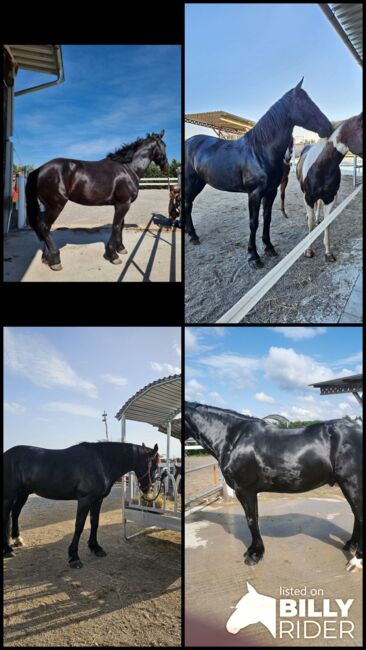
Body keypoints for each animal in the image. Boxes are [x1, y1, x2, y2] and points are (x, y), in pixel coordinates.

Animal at [3, 440, 159, 568]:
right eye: (154, 467)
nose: (148, 490)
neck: (102, 462)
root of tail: (7, 454)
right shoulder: (85, 499)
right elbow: (79, 526)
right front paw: (74, 557)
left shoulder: (98, 499)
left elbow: (94, 523)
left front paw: (96, 547)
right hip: (9, 495)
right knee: (8, 515)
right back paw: (8, 550)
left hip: (23, 493)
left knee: (15, 513)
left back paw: (17, 540)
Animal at [25, 132, 169, 268]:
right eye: (164, 145)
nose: (166, 166)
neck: (128, 168)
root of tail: (39, 170)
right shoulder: (123, 204)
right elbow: (116, 226)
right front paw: (113, 255)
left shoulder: (121, 204)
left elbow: (121, 225)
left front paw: (121, 248)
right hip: (56, 205)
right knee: (44, 227)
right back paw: (55, 259)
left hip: (48, 206)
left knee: (46, 227)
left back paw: (46, 258)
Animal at [184, 78, 334, 266]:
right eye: (305, 103)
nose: (328, 127)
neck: (260, 151)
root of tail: (188, 142)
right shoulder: (254, 193)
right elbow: (253, 222)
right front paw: (253, 256)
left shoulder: (270, 192)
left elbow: (267, 218)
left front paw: (269, 248)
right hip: (191, 182)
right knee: (187, 205)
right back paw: (193, 236)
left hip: (199, 183)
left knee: (188, 205)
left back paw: (190, 234)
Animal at [184, 402, 362, 568]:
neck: (233, 438)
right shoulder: (250, 491)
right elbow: (254, 518)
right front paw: (254, 551)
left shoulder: (244, 490)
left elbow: (251, 520)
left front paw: (254, 555)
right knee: (356, 514)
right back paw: (350, 545)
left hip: (351, 483)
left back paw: (356, 561)